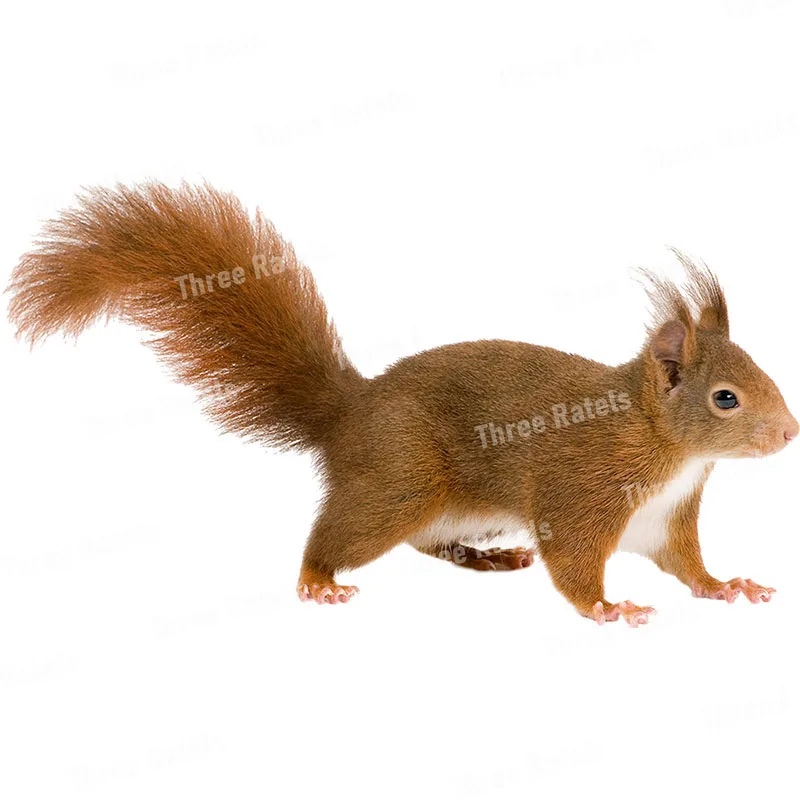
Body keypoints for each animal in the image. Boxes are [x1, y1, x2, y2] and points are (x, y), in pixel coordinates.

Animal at [7, 182, 797, 626]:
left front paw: (727, 586)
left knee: (428, 542)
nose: (790, 433)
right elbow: (573, 564)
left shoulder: (665, 519)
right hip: (399, 483)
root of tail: (349, 412)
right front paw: (609, 607)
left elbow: (686, 566)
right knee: (337, 537)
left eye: (763, 369)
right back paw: (319, 582)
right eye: (726, 398)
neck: (667, 448)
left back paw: (483, 559)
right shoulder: (584, 491)